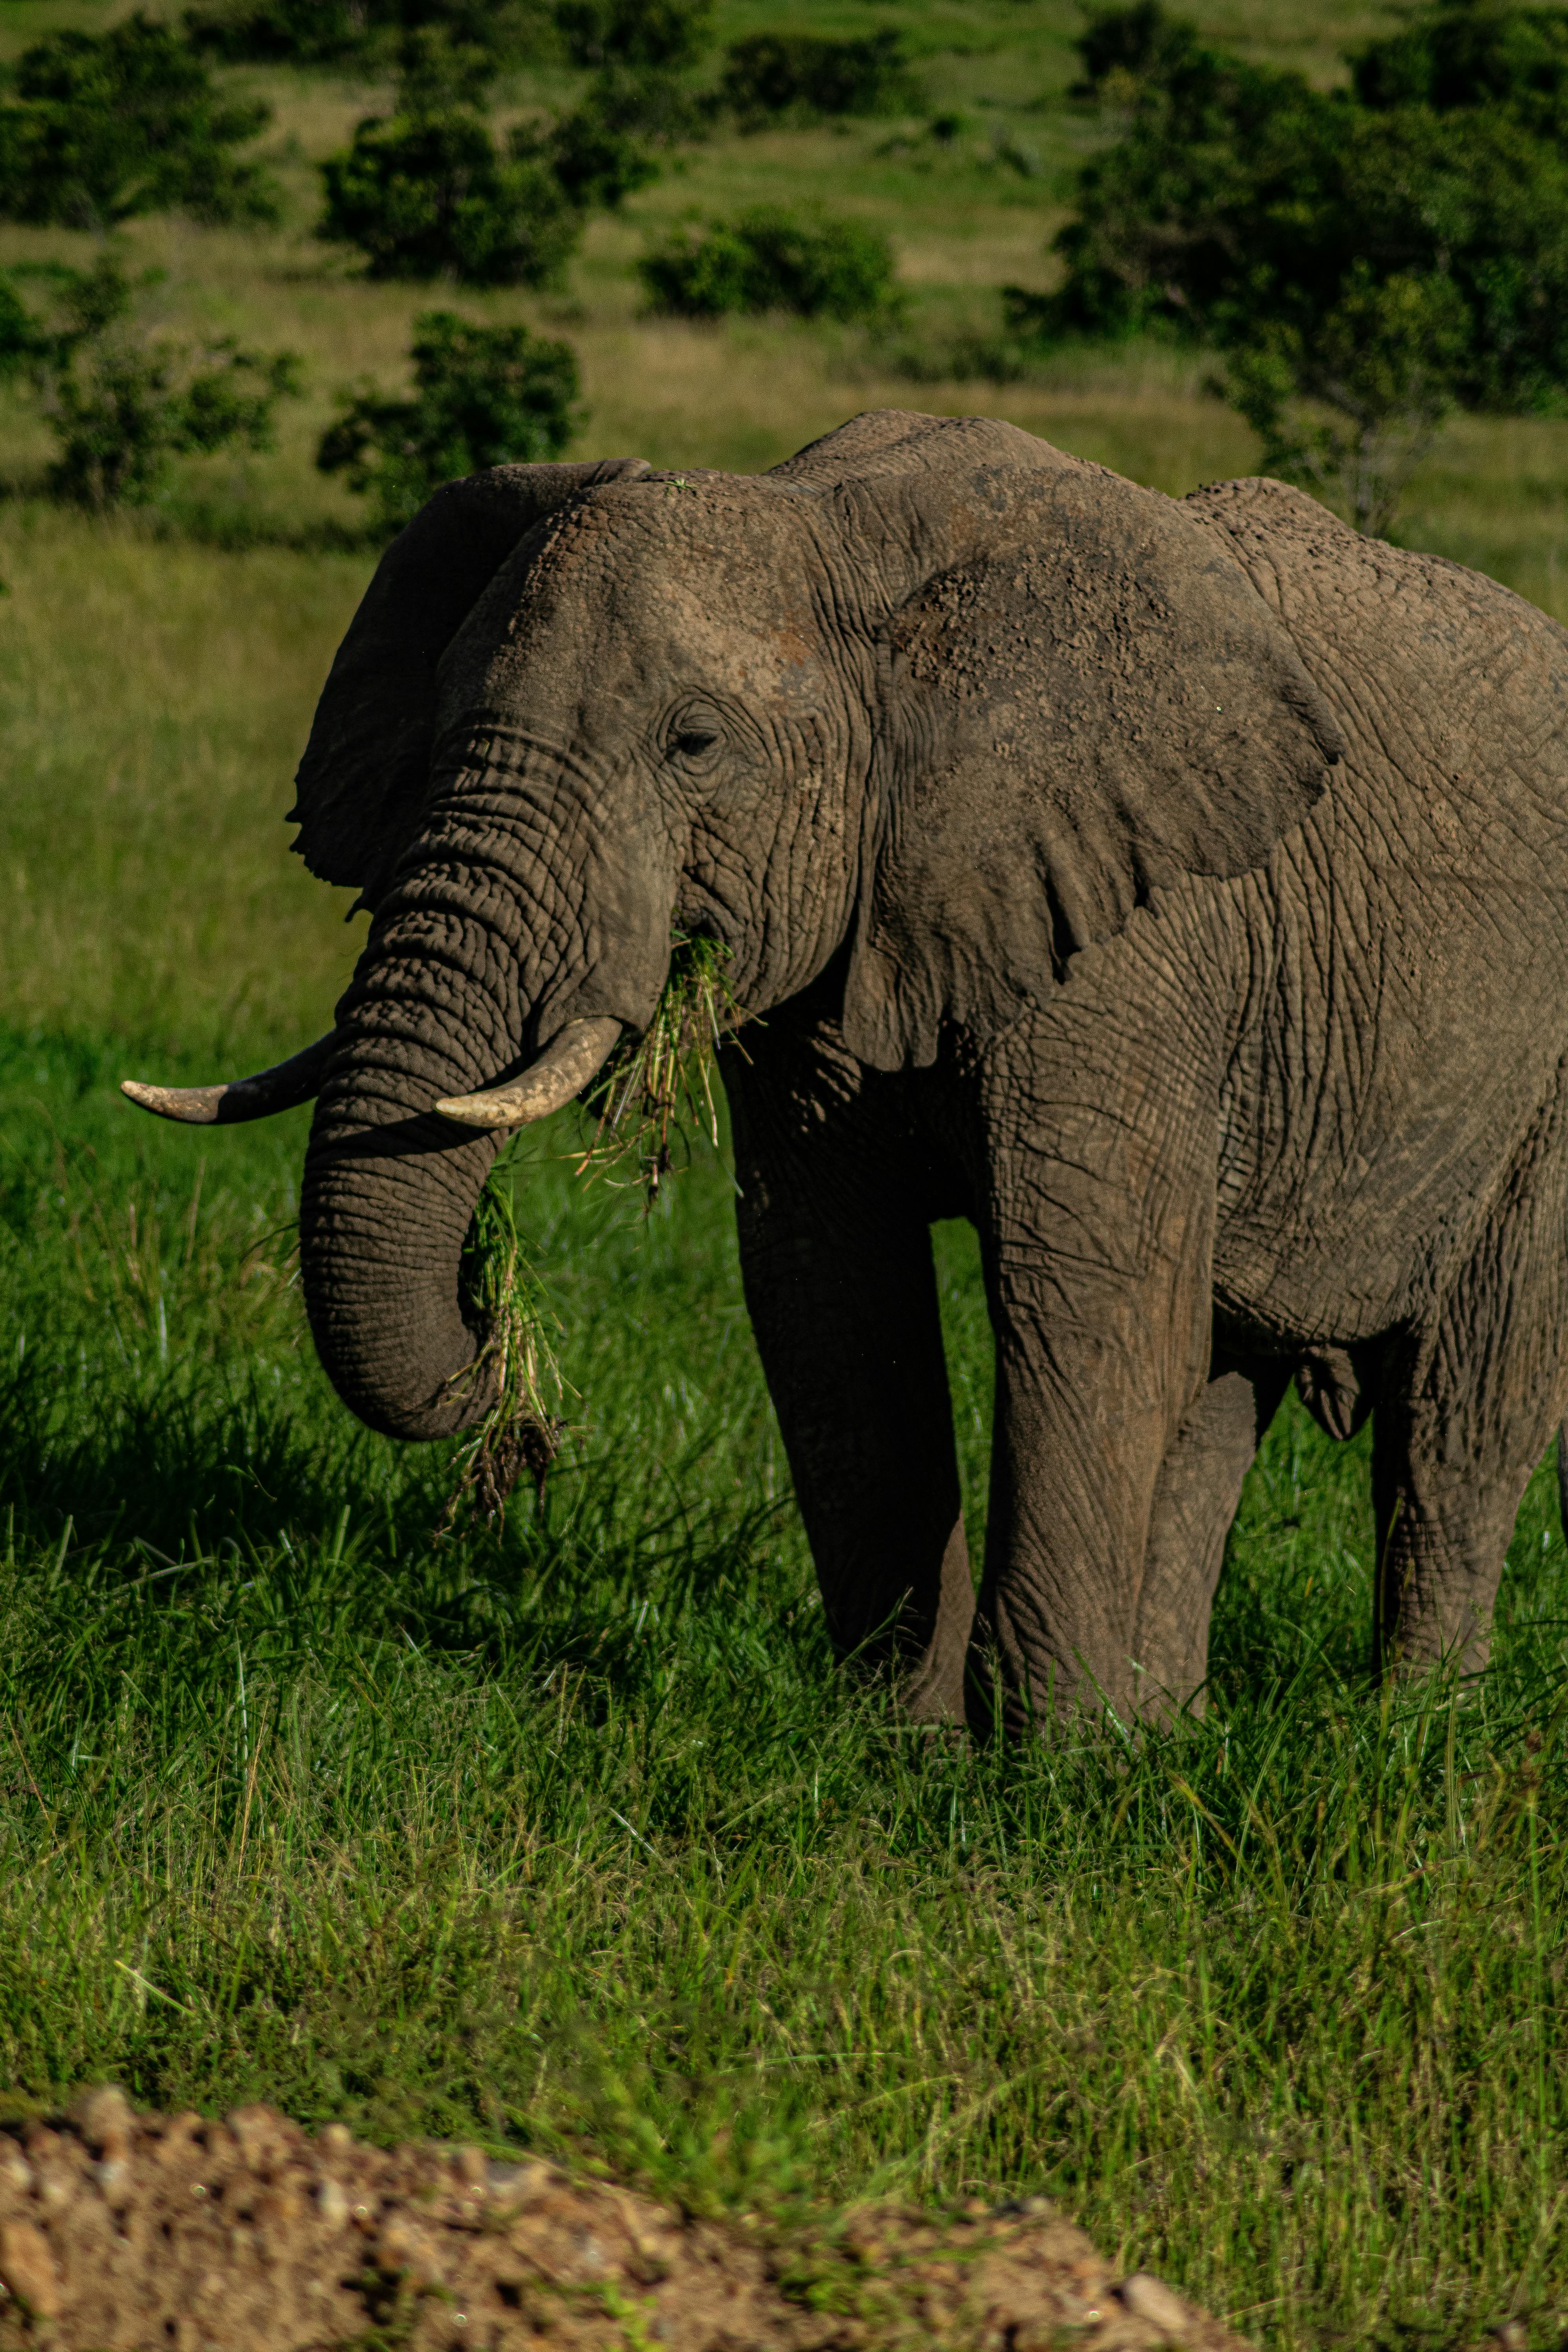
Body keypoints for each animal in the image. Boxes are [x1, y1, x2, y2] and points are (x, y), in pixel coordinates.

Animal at [123, 409, 1568, 1730]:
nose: (496, 1346)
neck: (833, 533)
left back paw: (1406, 1736)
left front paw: (1051, 1774)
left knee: (1460, 1416)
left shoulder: (1138, 947)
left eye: (694, 745)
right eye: (436, 724)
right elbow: (831, 1302)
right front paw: (905, 1746)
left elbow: (1084, 1305)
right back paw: (1173, 1729)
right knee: (1226, 1384)